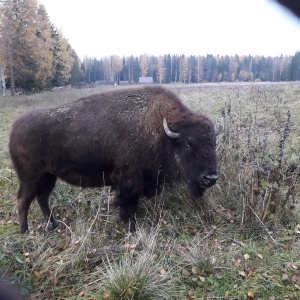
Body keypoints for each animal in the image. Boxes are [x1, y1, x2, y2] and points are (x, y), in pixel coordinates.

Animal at [9, 85, 218, 233]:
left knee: (42, 198)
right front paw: (131, 226)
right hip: (30, 178)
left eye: (213, 143)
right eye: (188, 144)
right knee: (23, 200)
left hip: (48, 176)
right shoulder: (130, 181)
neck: (163, 132)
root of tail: (15, 127)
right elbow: (129, 202)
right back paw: (25, 231)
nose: (211, 178)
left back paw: (54, 225)